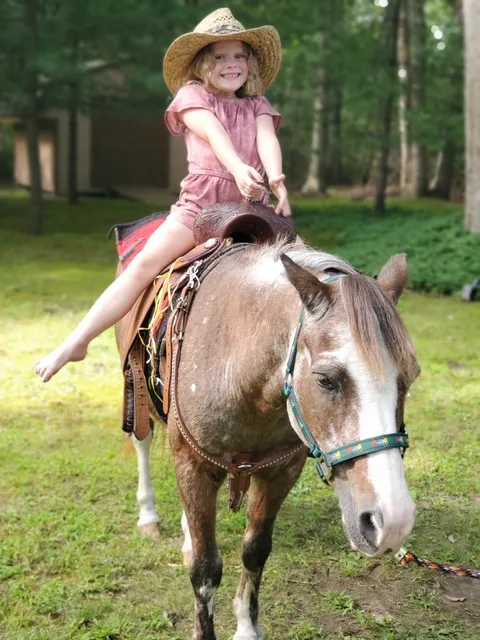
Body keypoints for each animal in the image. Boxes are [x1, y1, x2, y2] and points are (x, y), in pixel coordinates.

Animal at [129, 243, 419, 640]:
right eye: (325, 379)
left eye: (410, 376)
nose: (392, 522)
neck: (238, 368)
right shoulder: (193, 464)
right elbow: (205, 570)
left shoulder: (280, 472)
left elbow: (255, 551)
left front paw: (247, 627)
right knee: (142, 445)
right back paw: (149, 516)